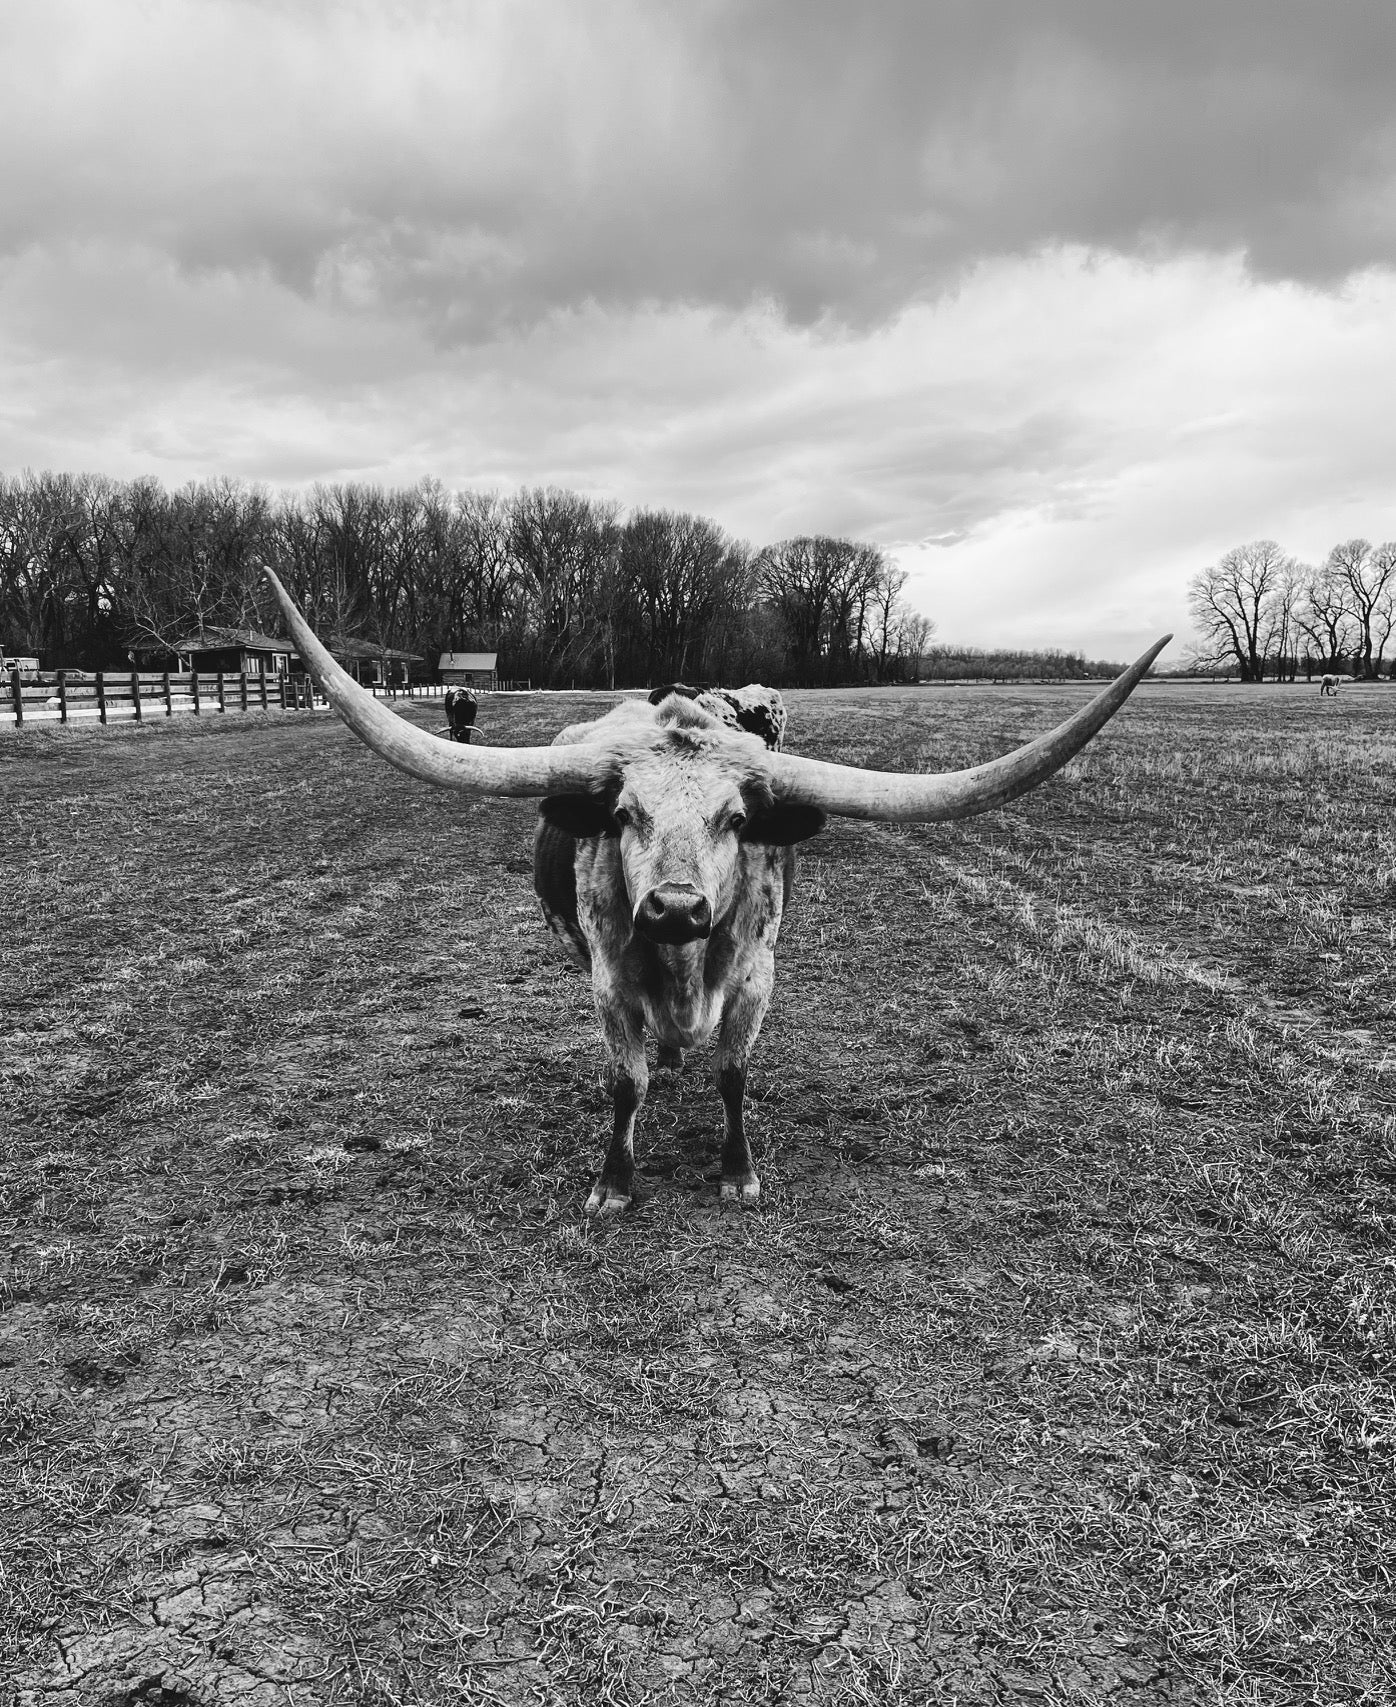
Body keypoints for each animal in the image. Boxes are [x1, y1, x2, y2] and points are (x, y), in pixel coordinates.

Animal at [262, 566, 1169, 1219]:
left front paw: (738, 1172)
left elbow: (734, 1071)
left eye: (736, 818)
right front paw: (614, 1180)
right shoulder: (608, 979)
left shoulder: (757, 973)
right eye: (623, 813)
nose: (673, 907)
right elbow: (625, 1082)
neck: (683, 964)